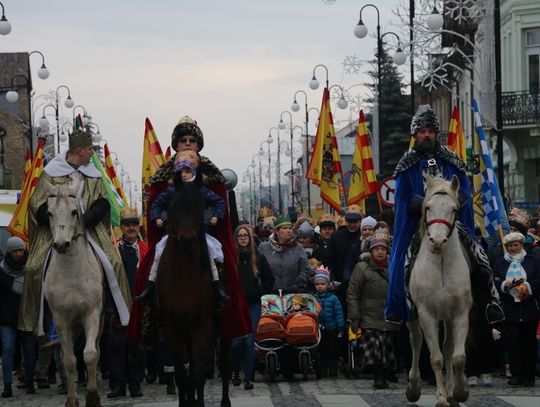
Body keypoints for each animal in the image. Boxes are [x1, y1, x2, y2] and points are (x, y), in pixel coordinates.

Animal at [44, 181, 103, 407]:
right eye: (49, 213)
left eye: (74, 211)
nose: (61, 245)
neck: (71, 275)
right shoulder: (61, 320)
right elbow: (69, 360)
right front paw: (72, 399)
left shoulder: (92, 314)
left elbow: (90, 354)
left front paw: (93, 397)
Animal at [154, 181, 230, 407]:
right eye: (173, 205)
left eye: (200, 204)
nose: (187, 239)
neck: (184, 277)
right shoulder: (172, 327)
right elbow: (181, 373)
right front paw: (186, 401)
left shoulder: (202, 324)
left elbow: (197, 373)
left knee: (224, 364)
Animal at [404, 176, 472, 407]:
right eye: (427, 207)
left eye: (454, 209)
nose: (438, 242)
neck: (441, 263)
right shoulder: (426, 314)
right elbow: (435, 358)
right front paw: (441, 398)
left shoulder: (459, 313)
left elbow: (457, 357)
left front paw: (459, 392)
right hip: (412, 315)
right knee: (416, 342)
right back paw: (414, 387)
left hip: (448, 317)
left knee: (449, 347)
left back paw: (452, 392)